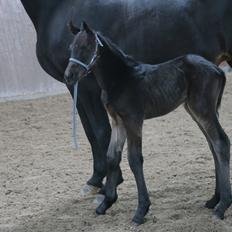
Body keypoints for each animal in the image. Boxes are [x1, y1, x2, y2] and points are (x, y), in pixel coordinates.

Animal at [20, 0, 232, 198]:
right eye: (71, 47)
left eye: (86, 47)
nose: (69, 74)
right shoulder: (74, 86)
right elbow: (89, 132)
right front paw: (96, 180)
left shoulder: (87, 86)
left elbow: (100, 131)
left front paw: (110, 183)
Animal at [64, 22, 232, 224]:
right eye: (71, 48)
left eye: (85, 47)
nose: (68, 76)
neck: (120, 78)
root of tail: (218, 69)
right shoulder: (118, 121)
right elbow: (112, 156)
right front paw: (106, 203)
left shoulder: (133, 120)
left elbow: (135, 159)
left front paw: (141, 211)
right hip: (195, 111)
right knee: (213, 145)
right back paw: (214, 200)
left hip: (203, 109)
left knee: (221, 142)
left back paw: (222, 206)